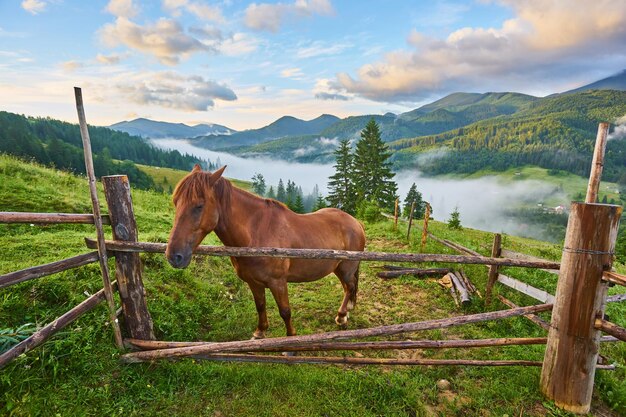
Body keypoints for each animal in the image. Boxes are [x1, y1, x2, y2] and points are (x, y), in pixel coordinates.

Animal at [165, 164, 366, 336]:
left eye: (199, 206)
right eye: (175, 202)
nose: (174, 256)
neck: (255, 235)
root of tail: (356, 222)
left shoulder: (278, 283)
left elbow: (285, 311)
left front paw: (290, 341)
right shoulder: (253, 282)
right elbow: (260, 306)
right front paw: (260, 332)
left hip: (347, 268)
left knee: (349, 287)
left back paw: (341, 317)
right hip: (338, 268)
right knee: (347, 288)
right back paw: (345, 313)